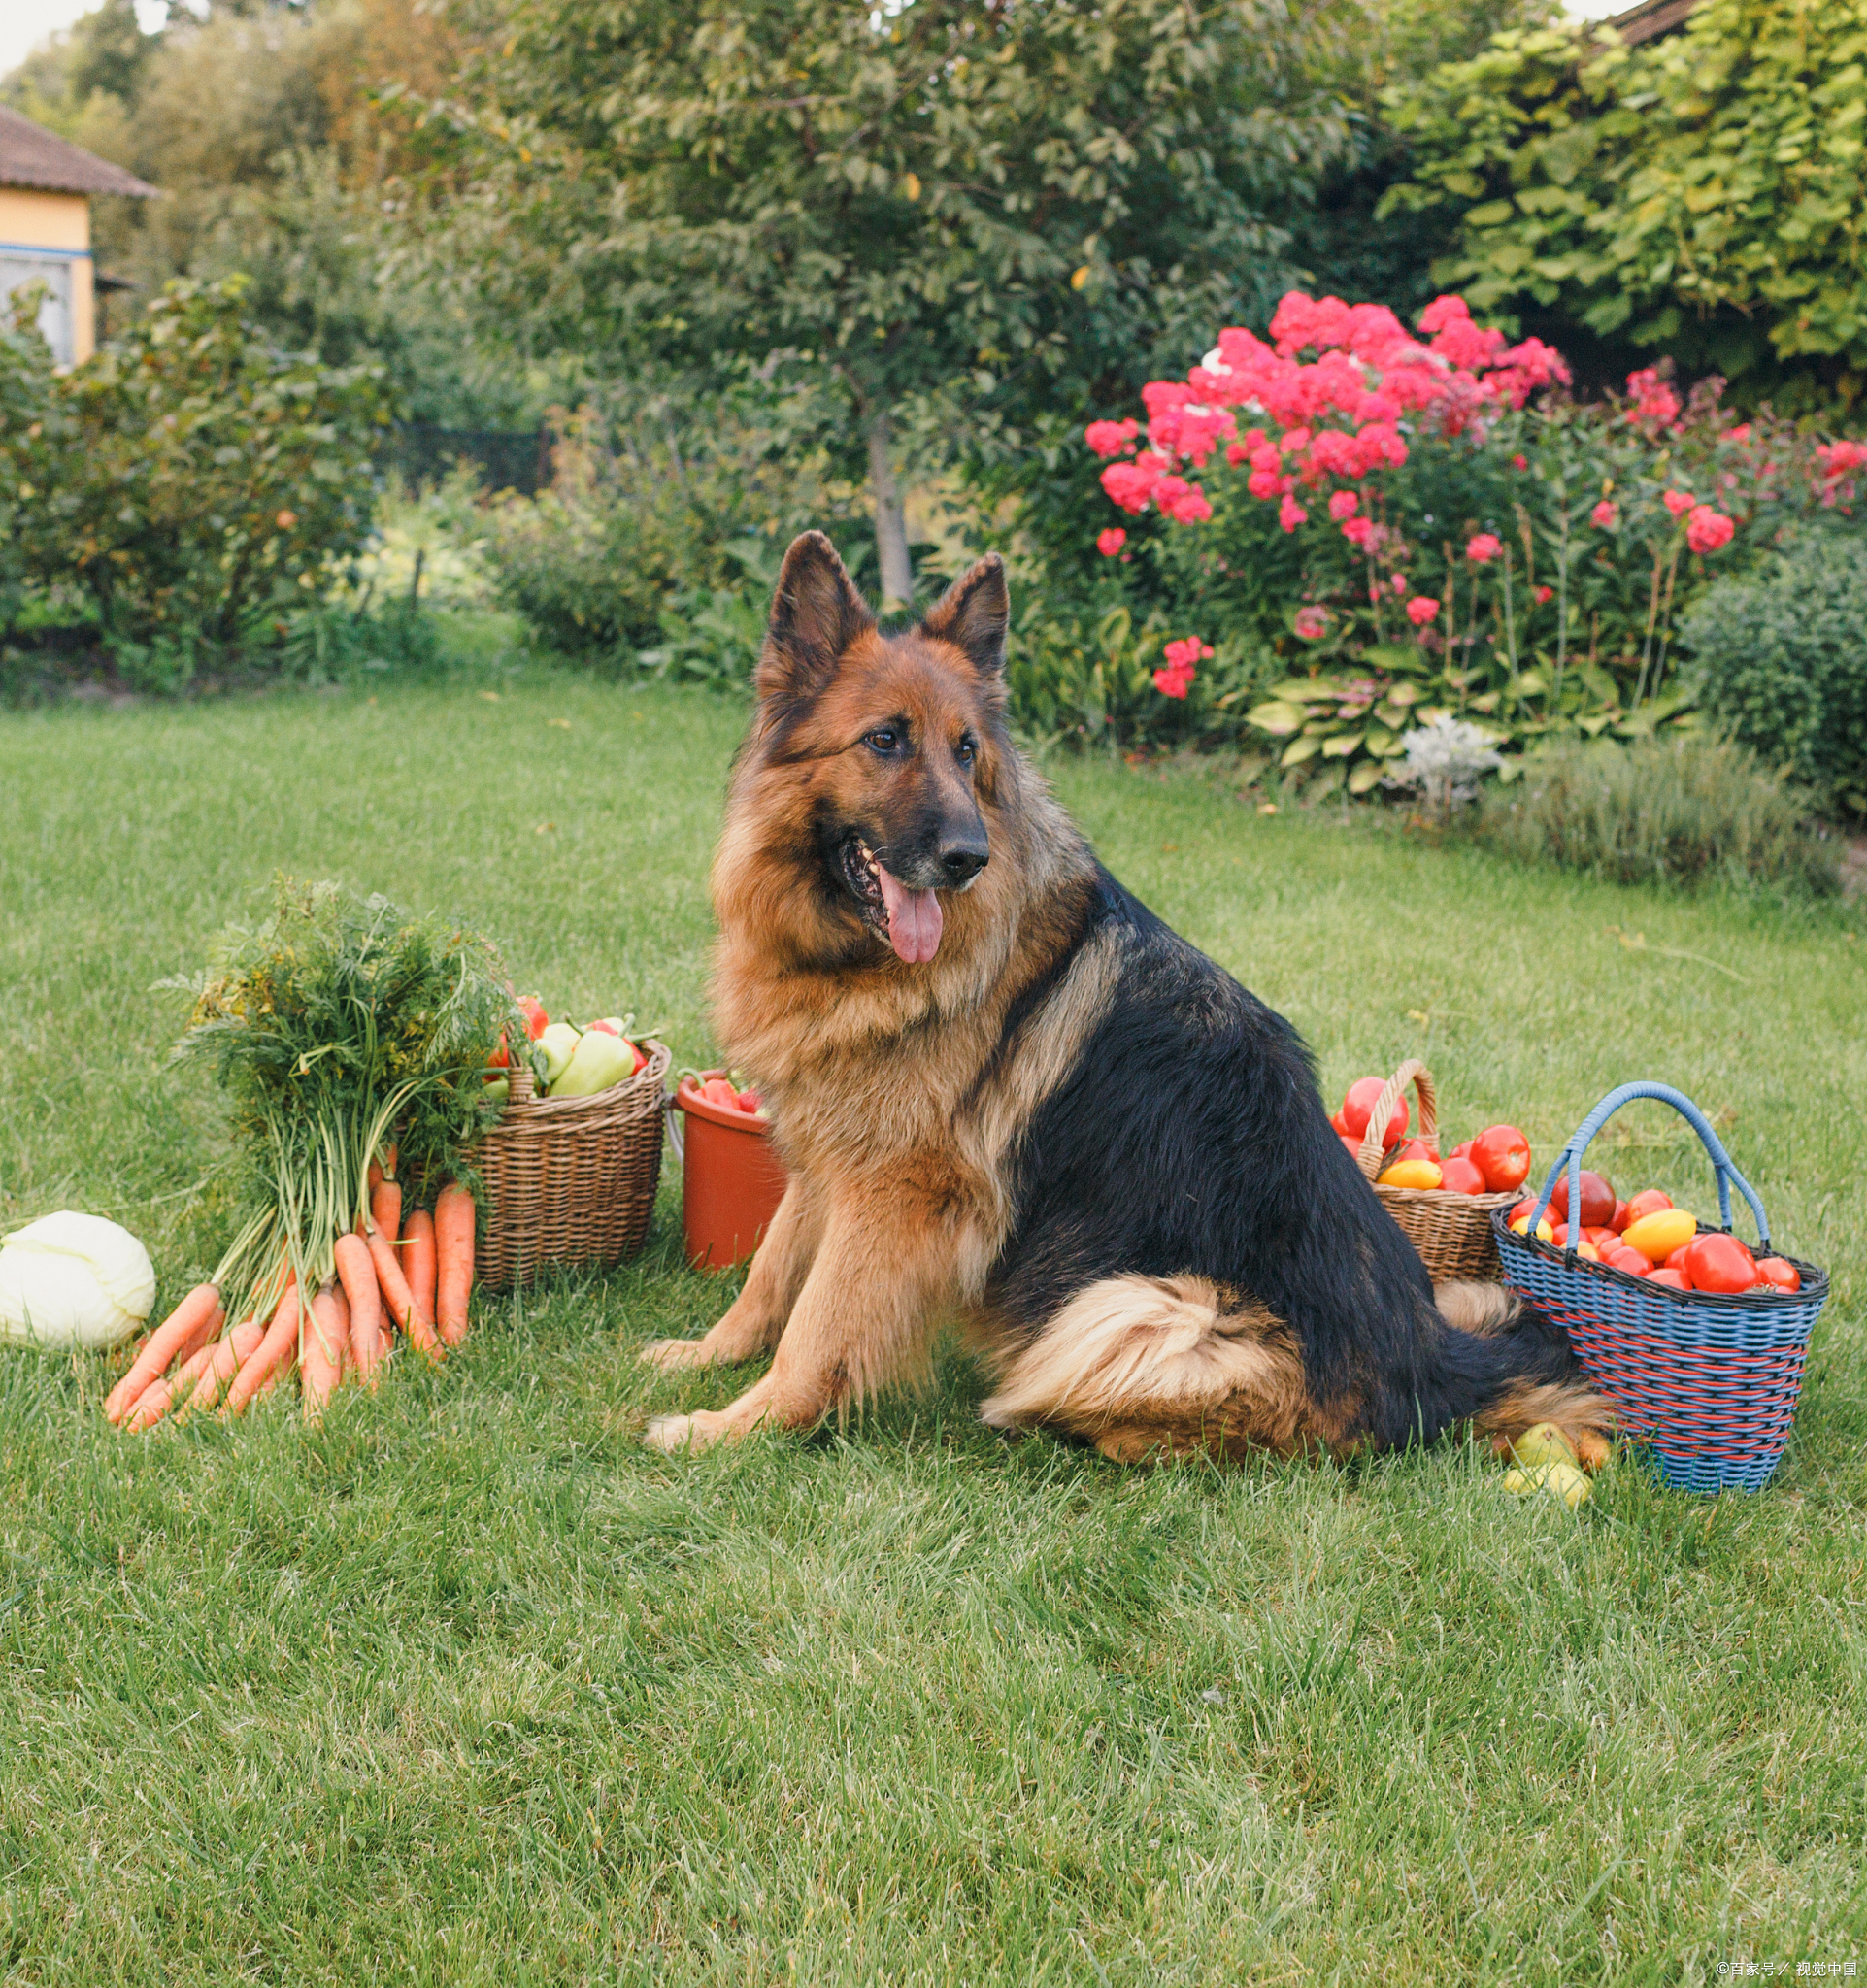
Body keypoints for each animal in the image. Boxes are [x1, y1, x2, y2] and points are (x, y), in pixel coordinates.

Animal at [640, 536, 1606, 1471]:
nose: (968, 858)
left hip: (1134, 1308)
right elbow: (774, 1273)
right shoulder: (830, 1151)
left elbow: (818, 1328)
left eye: (965, 750)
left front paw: (734, 1429)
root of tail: (1439, 1370)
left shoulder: (898, 1190)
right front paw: (710, 1355)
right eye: (883, 740)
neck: (851, 958)